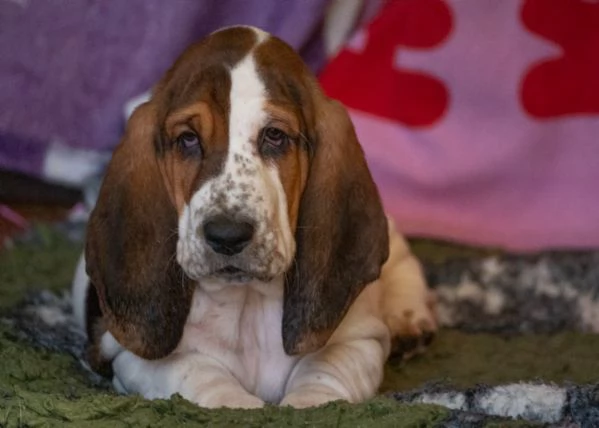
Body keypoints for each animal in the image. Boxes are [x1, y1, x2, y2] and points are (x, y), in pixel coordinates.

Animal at [72, 25, 438, 410]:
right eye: (188, 139)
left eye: (274, 135)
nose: (227, 235)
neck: (248, 301)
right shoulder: (131, 356)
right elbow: (198, 373)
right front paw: (241, 407)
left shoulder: (357, 340)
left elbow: (324, 374)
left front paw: (307, 404)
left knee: (402, 259)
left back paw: (407, 318)